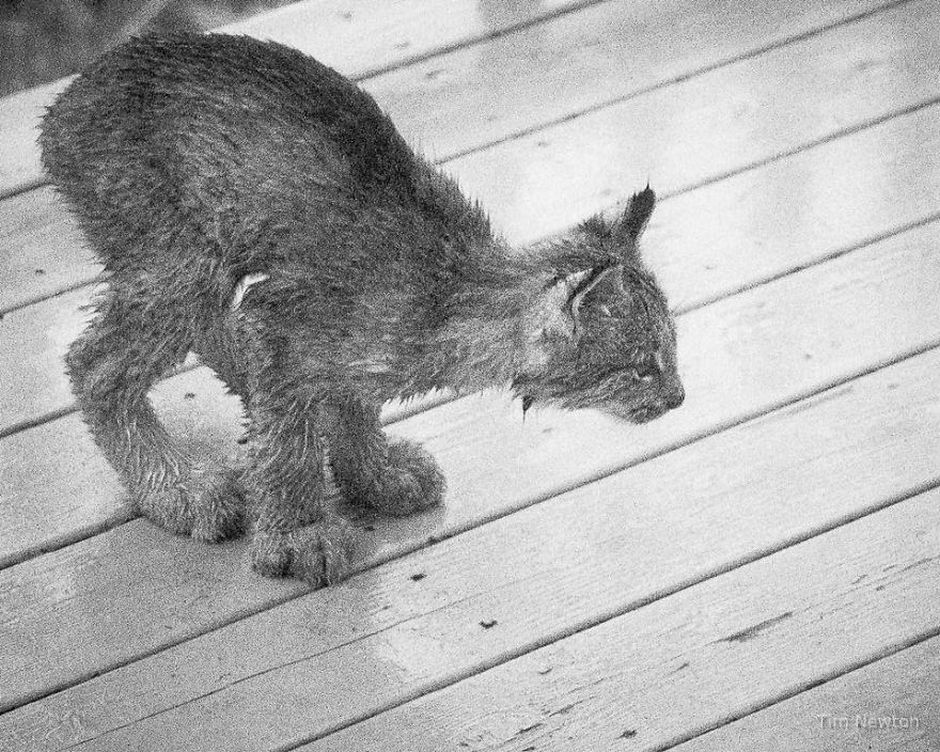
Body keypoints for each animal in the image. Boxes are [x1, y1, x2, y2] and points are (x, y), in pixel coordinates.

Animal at [38, 32, 684, 584]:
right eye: (641, 367)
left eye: (671, 354)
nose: (678, 397)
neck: (458, 298)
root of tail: (75, 88)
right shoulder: (281, 321)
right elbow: (290, 446)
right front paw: (298, 534)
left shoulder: (317, 338)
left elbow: (346, 399)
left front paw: (373, 474)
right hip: (185, 252)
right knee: (93, 360)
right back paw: (179, 491)